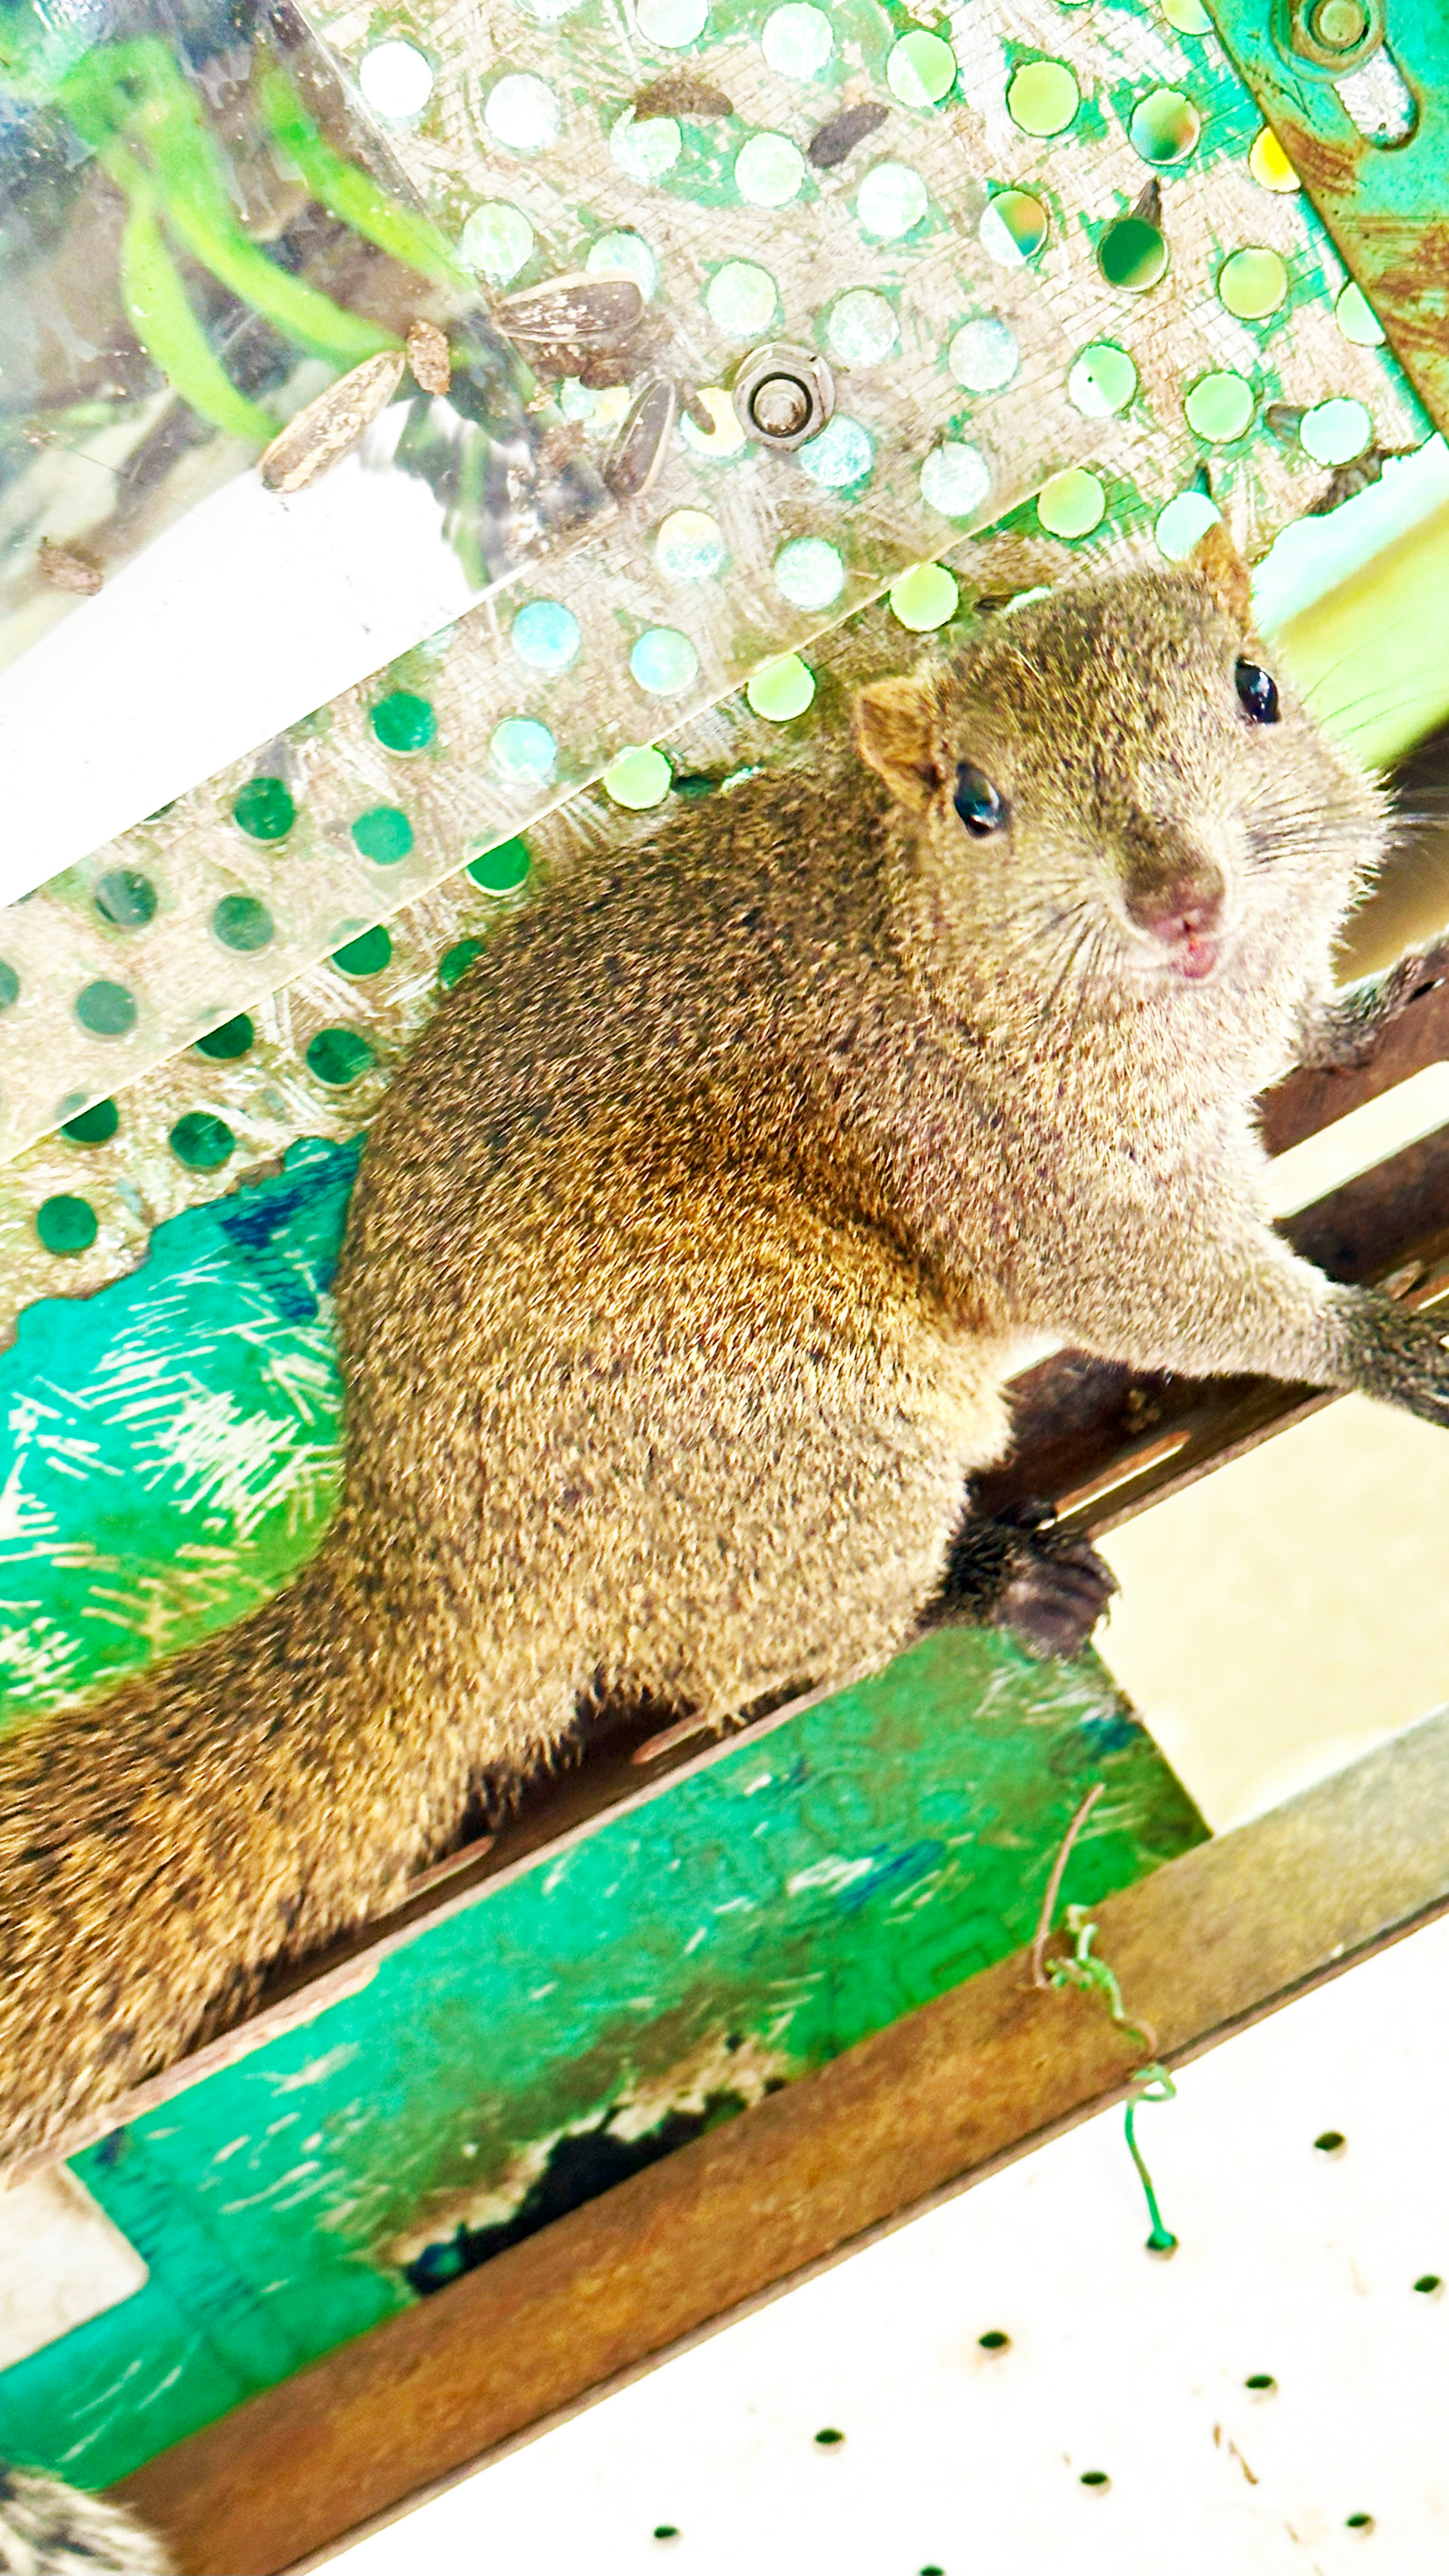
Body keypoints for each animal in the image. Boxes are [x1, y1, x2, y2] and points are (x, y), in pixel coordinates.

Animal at [3, 533, 1444, 2205]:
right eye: (977, 802)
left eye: (1258, 686)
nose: (1182, 898)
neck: (937, 948)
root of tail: (430, 1554)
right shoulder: (1031, 1186)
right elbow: (1187, 1297)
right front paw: (1378, 1338)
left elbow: (1296, 1038)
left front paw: (1369, 1000)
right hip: (802, 1394)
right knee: (774, 1647)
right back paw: (999, 1580)